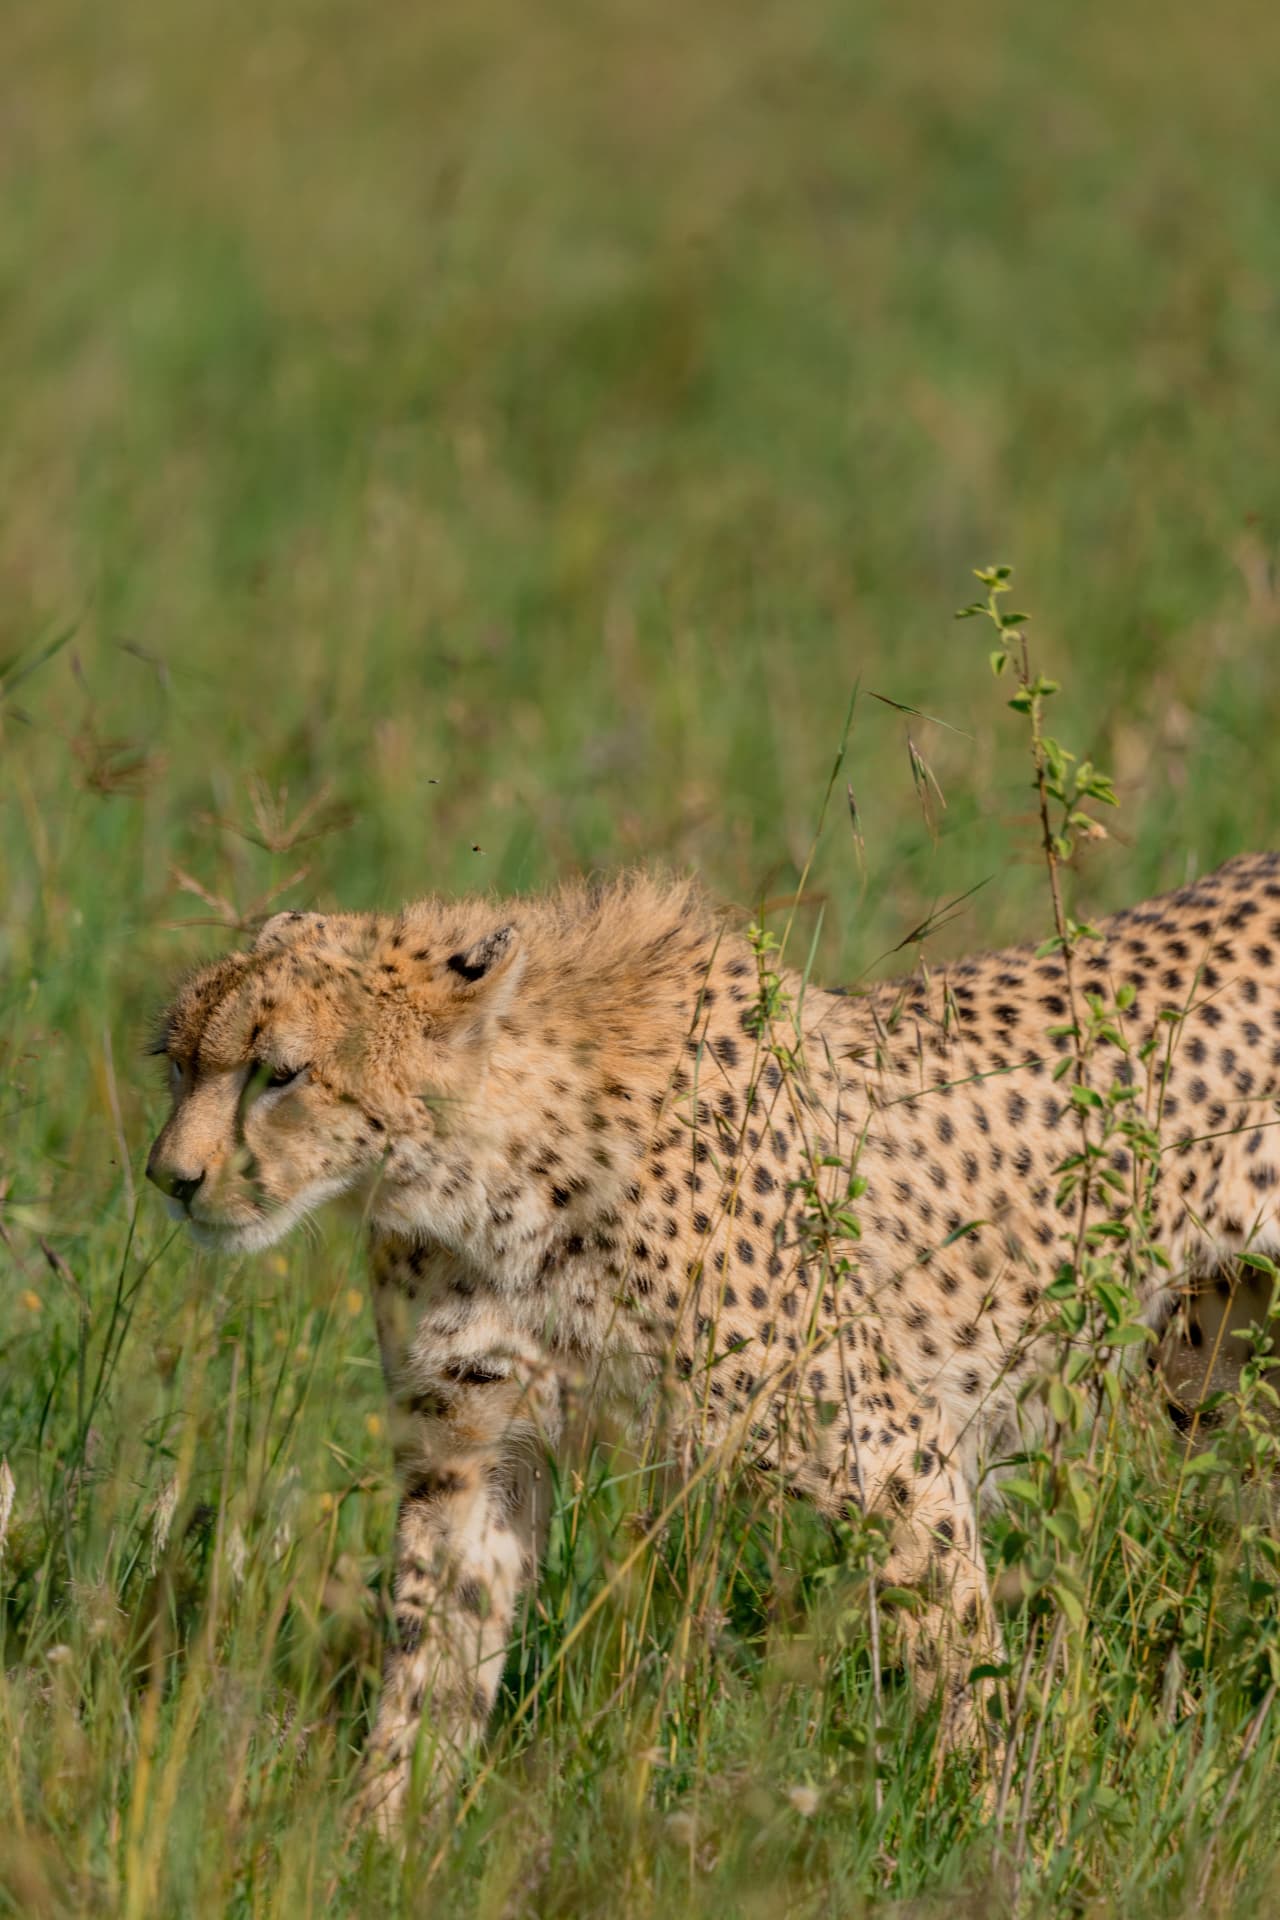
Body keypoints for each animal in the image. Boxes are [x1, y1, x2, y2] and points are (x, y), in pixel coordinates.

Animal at [145, 853, 1280, 1831]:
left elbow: (960, 1668)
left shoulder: (892, 1459)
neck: (488, 1168)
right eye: (179, 1063)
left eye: (280, 1074)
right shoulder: (473, 1449)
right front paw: (383, 1834)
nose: (172, 1179)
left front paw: (989, 1833)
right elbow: (434, 1652)